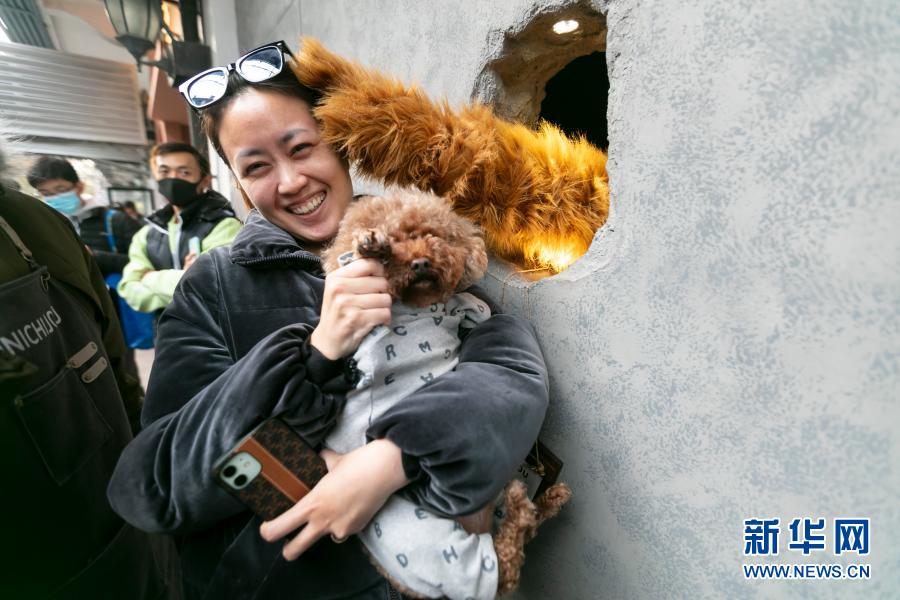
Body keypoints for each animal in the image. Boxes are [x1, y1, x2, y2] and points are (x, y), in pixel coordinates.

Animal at [322, 189, 571, 598]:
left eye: (431, 234)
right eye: (397, 240)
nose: (421, 262)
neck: (420, 306)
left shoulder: (464, 306)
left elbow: (475, 310)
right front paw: (368, 245)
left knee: (520, 541)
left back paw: (547, 499)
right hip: (437, 548)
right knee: (510, 557)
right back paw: (522, 504)